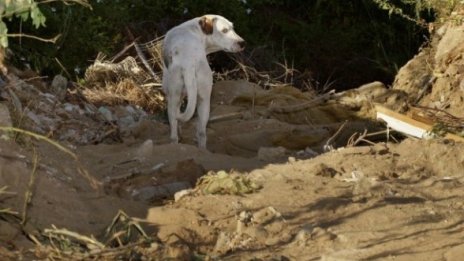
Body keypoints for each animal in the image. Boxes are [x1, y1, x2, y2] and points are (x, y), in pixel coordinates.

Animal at [161, 14, 245, 148]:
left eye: (232, 28)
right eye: (225, 30)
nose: (243, 43)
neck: (195, 30)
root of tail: (189, 62)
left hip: (173, 97)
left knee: (173, 132)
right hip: (204, 100)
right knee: (201, 132)